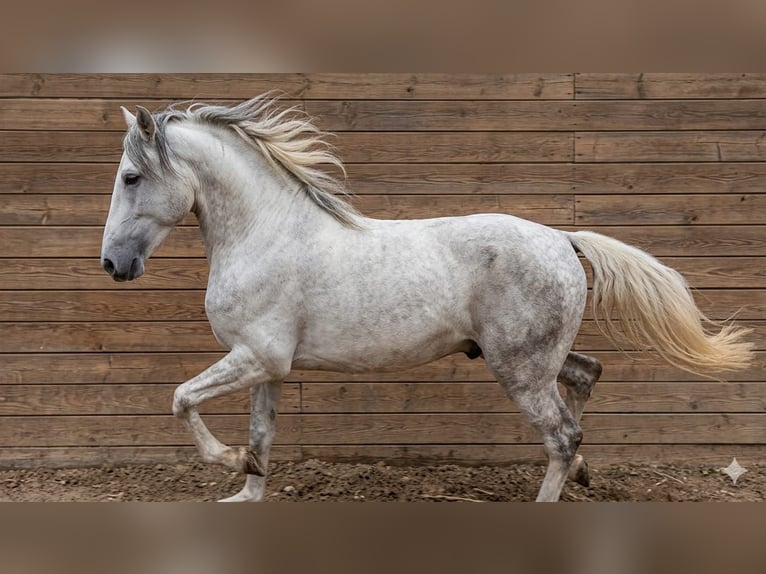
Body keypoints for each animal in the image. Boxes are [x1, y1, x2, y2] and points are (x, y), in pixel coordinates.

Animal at [100, 95, 753, 502]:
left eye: (131, 177)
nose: (113, 265)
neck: (266, 232)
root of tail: (563, 240)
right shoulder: (268, 365)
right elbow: (263, 434)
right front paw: (248, 483)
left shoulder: (256, 357)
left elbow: (181, 399)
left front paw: (234, 462)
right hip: (530, 358)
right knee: (586, 378)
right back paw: (585, 474)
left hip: (518, 368)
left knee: (561, 435)